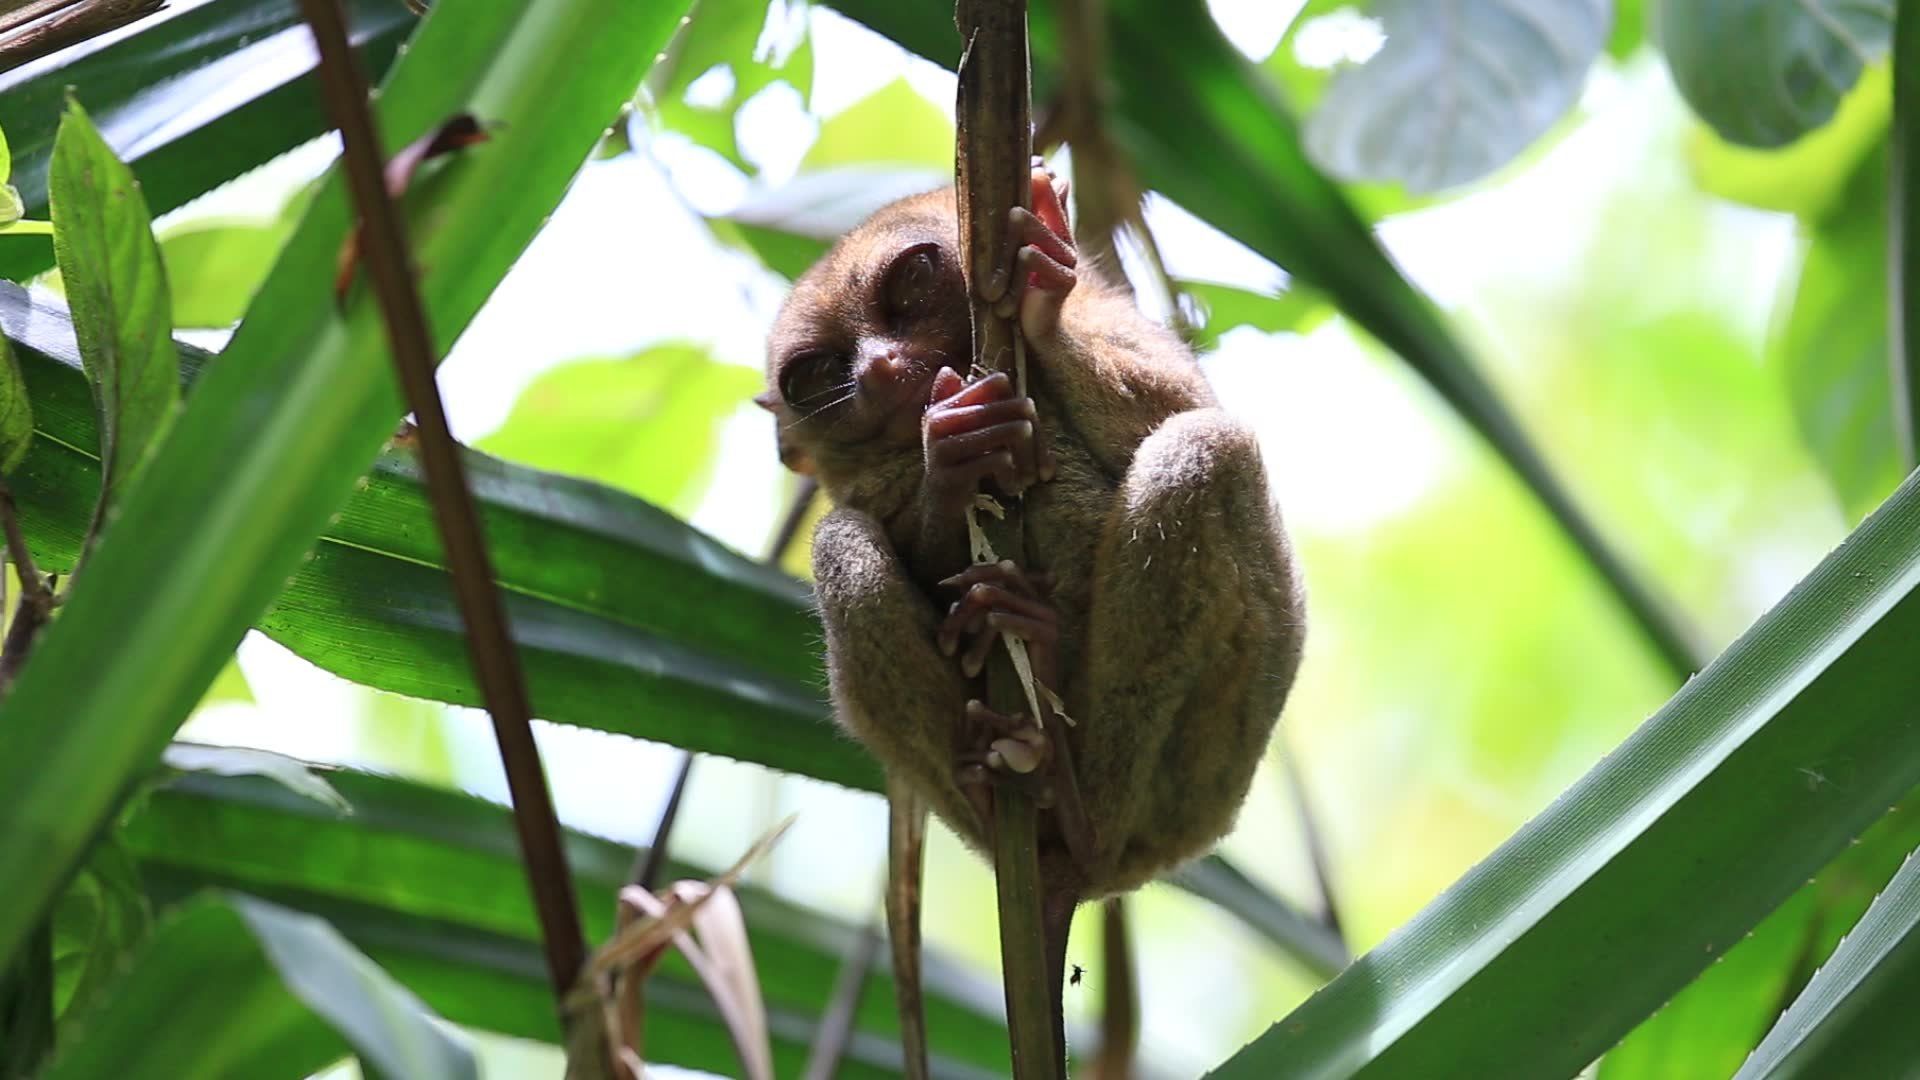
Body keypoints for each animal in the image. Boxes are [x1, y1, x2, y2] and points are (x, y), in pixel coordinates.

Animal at [758, 161, 1304, 1057]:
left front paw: (1041, 287)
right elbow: (878, 519)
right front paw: (947, 457)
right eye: (816, 377)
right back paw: (1010, 770)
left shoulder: (1122, 323)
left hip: (1216, 762)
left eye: (913, 281)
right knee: (840, 544)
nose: (879, 369)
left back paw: (1078, 802)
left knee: (1203, 452)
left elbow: (1176, 401)